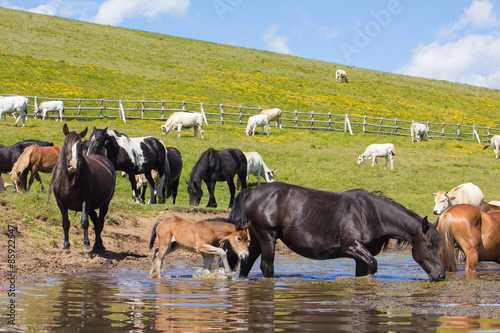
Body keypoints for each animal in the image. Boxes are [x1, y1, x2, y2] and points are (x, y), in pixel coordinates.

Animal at [48, 124, 115, 252]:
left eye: (79, 145)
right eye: (65, 143)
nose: (73, 164)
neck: (69, 179)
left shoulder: (86, 200)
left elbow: (84, 222)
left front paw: (86, 244)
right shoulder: (60, 202)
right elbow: (65, 223)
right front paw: (66, 245)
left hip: (104, 204)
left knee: (100, 222)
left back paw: (97, 244)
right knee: (96, 220)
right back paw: (99, 242)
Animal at [228, 182, 446, 280]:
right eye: (429, 245)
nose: (441, 275)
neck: (373, 214)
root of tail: (252, 190)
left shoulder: (360, 256)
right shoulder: (352, 247)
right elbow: (373, 266)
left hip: (257, 240)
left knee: (246, 265)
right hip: (267, 237)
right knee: (266, 268)